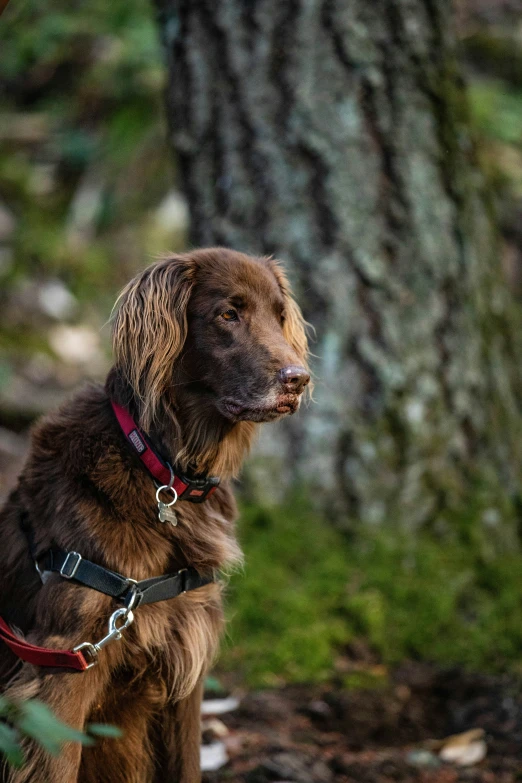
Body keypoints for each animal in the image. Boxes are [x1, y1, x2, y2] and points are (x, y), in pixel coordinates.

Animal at [0, 250, 308, 783]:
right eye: (228, 314)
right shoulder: (61, 669)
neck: (161, 470)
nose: (298, 379)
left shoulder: (186, 661)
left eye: (279, 315)